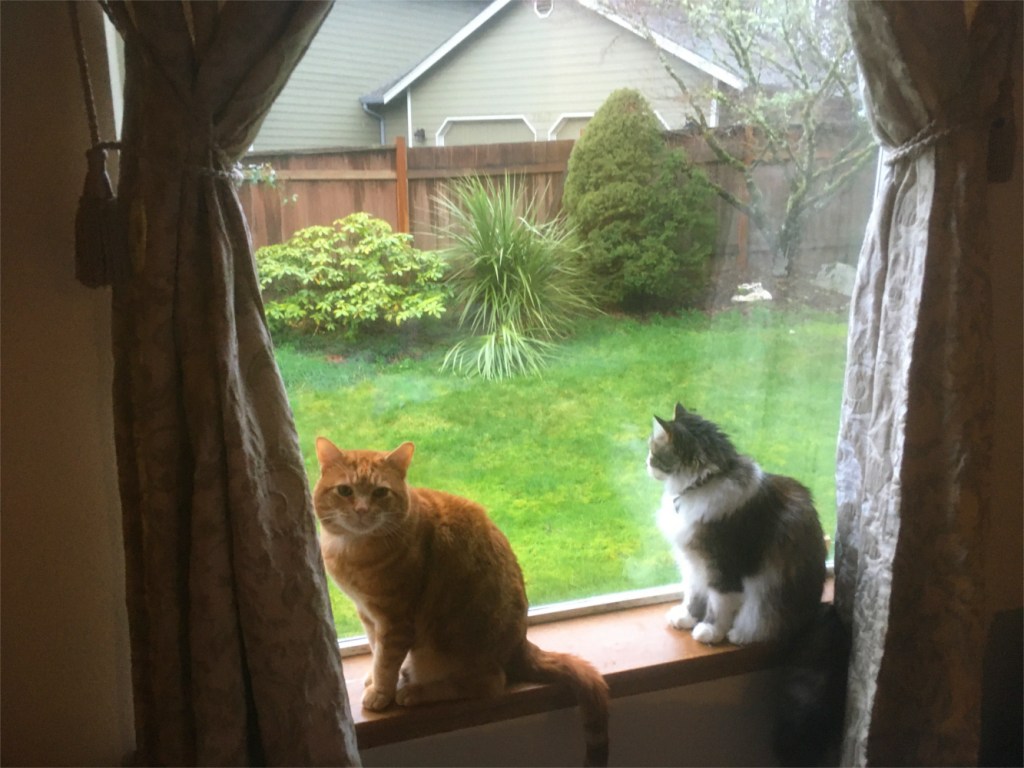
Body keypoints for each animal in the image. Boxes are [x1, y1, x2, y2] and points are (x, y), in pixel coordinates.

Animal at [313, 437, 610, 767]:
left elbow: (386, 661)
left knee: (490, 684)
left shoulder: (395, 620)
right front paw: (373, 680)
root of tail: (520, 644)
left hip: (446, 649)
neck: (351, 550)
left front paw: (381, 692)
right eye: (345, 491)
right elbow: (376, 650)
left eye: (380, 492)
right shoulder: (368, 614)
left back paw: (414, 692)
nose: (362, 510)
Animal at [646, 402, 827, 646]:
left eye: (653, 452)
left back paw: (737, 635)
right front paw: (687, 618)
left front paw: (710, 632)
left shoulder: (722, 565)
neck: (703, 483)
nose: (646, 463)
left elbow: (718, 604)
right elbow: (694, 594)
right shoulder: (694, 562)